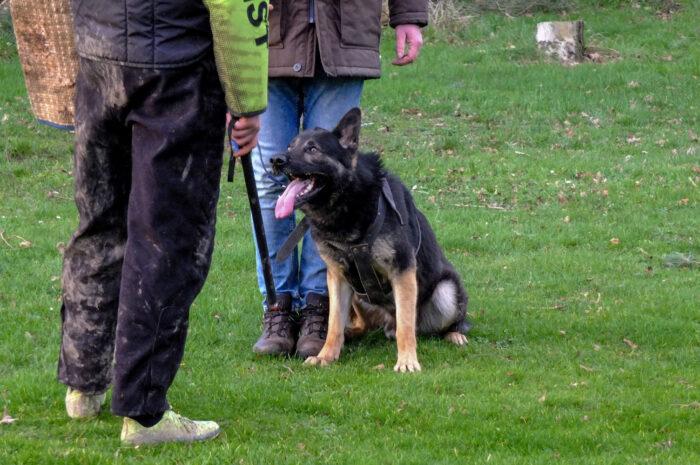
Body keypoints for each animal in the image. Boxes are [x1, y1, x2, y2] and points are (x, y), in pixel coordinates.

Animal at [272, 107, 470, 372]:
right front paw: (326, 355)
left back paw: (455, 334)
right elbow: (333, 324)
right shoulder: (337, 277)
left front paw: (407, 361)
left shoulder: (402, 271)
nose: (276, 160)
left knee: (437, 324)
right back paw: (351, 334)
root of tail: (385, 324)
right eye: (290, 146)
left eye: (312, 149)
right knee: (362, 325)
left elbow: (406, 325)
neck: (348, 204)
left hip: (446, 291)